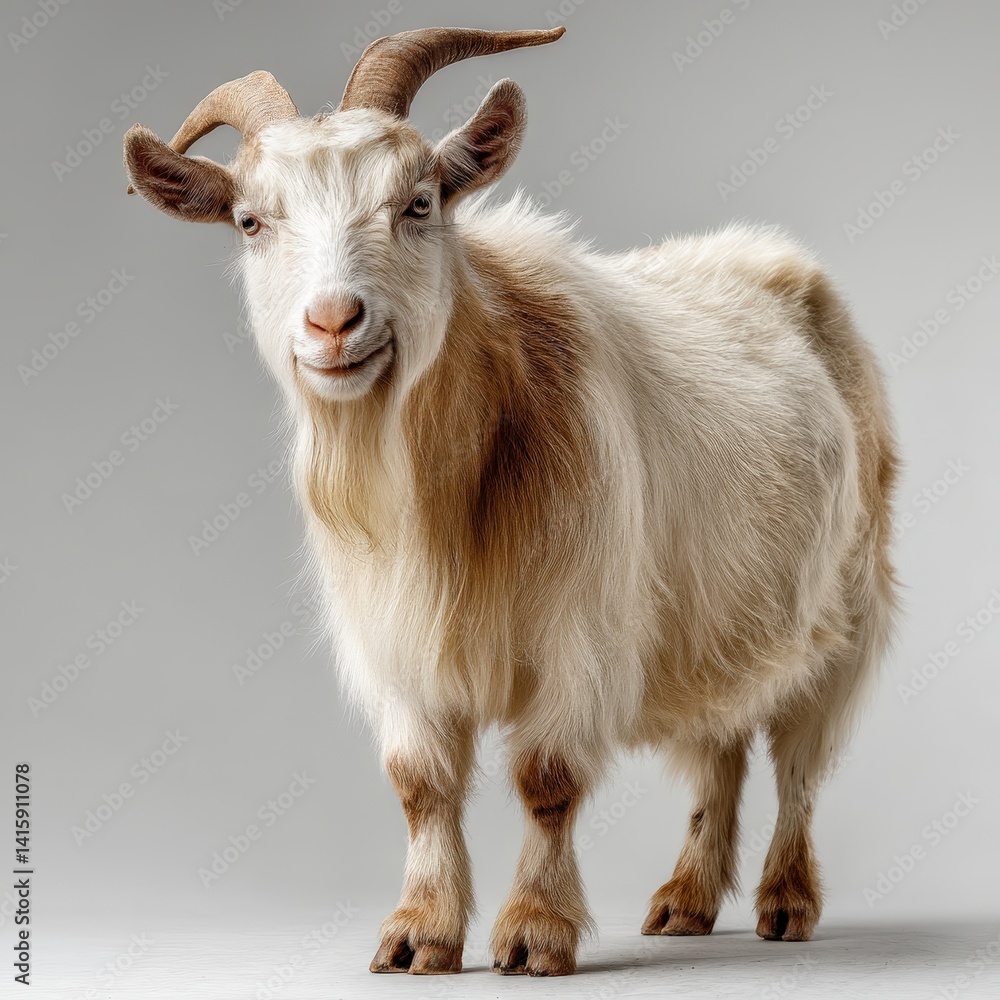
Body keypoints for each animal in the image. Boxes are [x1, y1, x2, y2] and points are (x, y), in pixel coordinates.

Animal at [123, 25, 899, 978]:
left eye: (418, 203)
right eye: (249, 222)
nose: (334, 322)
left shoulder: (580, 627)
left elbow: (547, 777)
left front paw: (534, 932)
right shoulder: (396, 644)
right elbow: (420, 783)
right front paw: (418, 935)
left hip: (846, 606)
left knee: (799, 761)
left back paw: (786, 902)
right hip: (715, 619)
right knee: (719, 750)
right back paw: (685, 901)